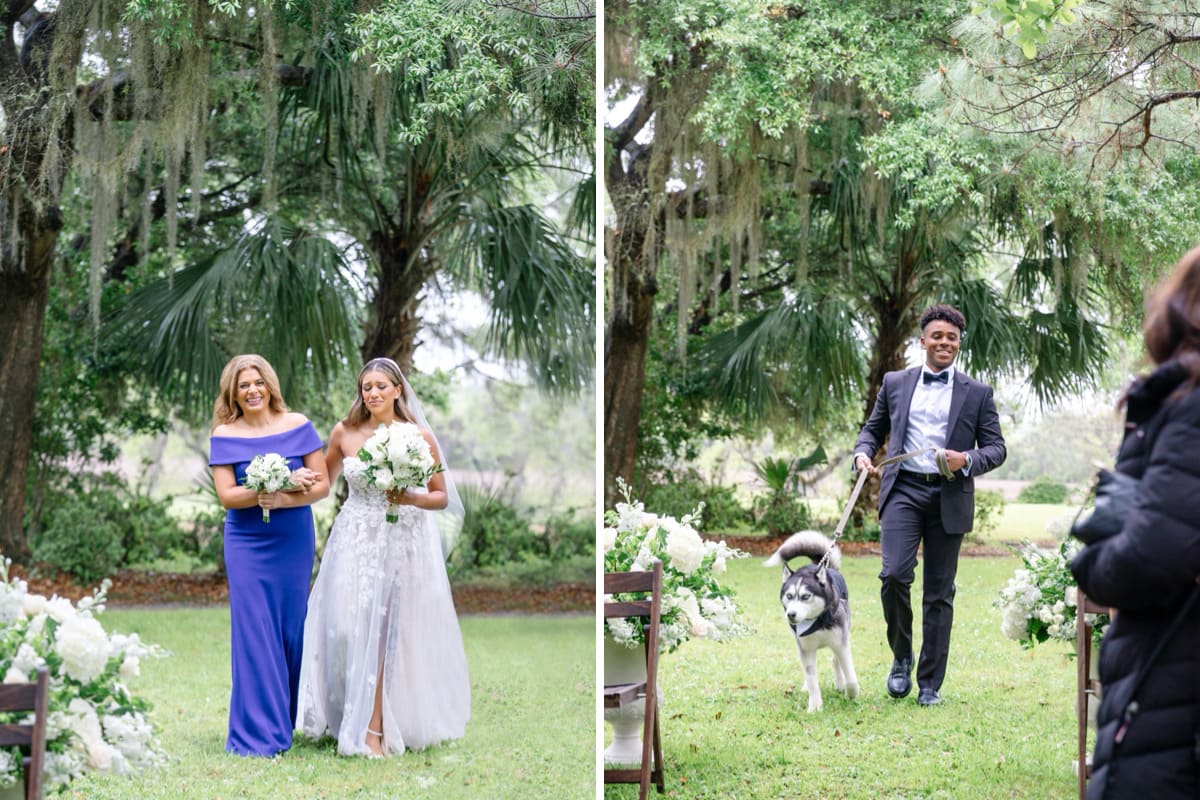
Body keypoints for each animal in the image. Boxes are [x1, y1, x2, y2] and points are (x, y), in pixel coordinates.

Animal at [763, 532, 859, 714]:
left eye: (806, 596)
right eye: (789, 596)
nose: (791, 614)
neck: (817, 623)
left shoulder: (841, 644)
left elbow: (850, 675)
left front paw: (851, 693)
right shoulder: (806, 649)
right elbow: (811, 677)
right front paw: (815, 705)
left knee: (836, 661)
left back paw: (840, 684)